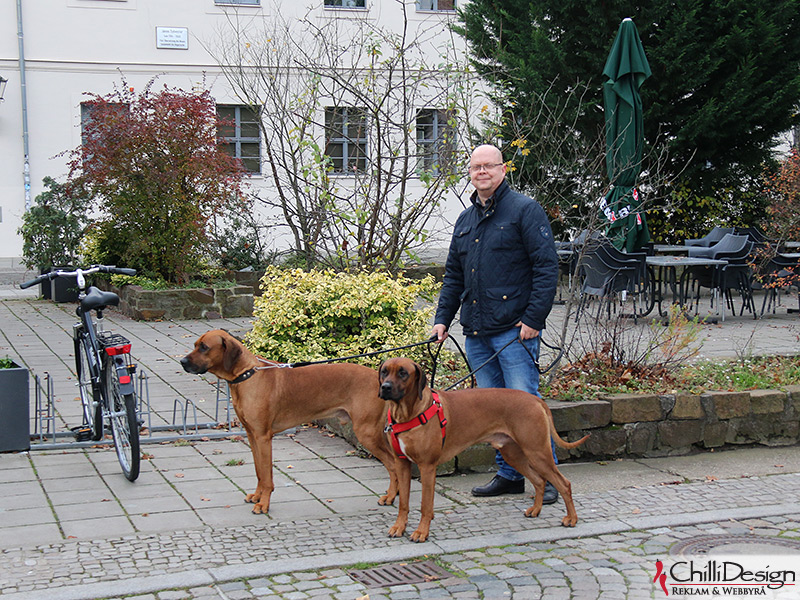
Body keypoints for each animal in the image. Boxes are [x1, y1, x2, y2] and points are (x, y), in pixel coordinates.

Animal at [179, 330, 396, 512]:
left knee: (393, 463)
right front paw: (257, 496)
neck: (247, 375)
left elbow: (267, 475)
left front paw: (263, 504)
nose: (182, 361)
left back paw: (391, 496)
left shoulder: (263, 437)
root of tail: (378, 378)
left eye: (204, 347)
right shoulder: (252, 435)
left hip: (367, 432)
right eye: (195, 344)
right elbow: (259, 471)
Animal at [376, 356, 588, 544]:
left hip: (537, 452)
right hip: (513, 454)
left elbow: (425, 505)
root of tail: (535, 400)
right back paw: (536, 510)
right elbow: (403, 503)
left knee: (563, 483)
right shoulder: (402, 464)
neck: (407, 413)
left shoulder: (427, 467)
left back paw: (571, 518)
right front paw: (399, 527)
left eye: (403, 373)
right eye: (384, 371)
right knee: (539, 480)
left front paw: (421, 532)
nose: (385, 387)